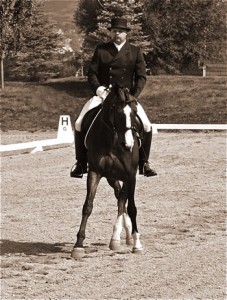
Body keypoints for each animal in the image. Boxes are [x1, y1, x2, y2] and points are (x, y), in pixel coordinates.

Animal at [71, 84, 144, 258]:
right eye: (118, 113)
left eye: (134, 112)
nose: (128, 145)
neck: (113, 140)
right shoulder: (95, 173)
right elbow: (87, 206)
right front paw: (78, 245)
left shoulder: (131, 175)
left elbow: (132, 207)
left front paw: (137, 243)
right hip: (111, 177)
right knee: (120, 197)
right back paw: (118, 237)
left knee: (123, 198)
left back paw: (121, 237)